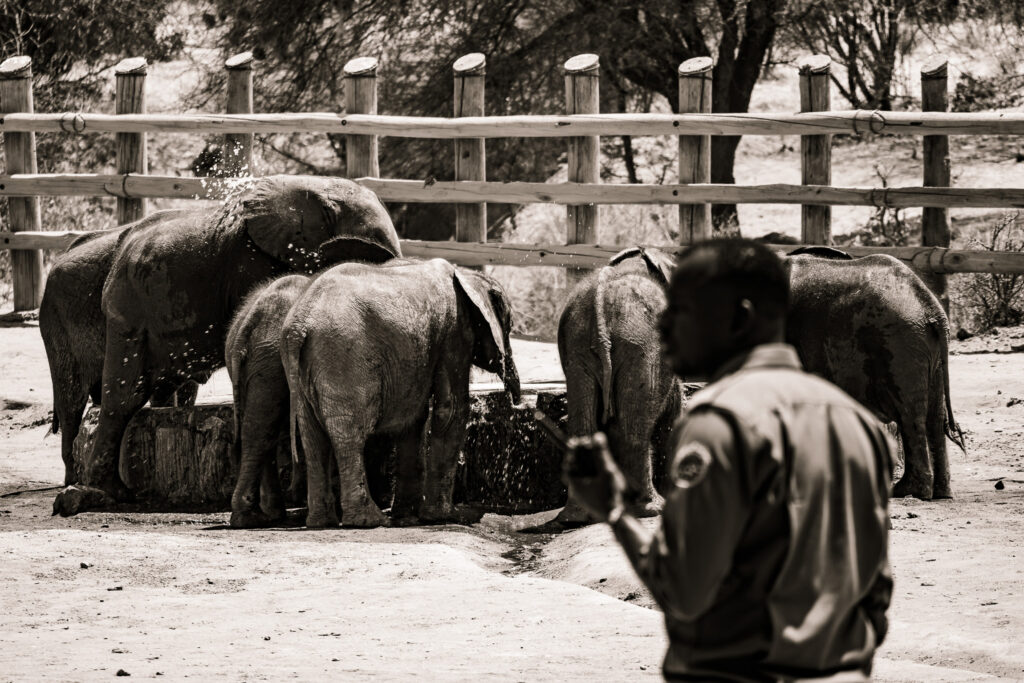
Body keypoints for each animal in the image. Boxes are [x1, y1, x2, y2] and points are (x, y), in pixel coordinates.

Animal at [281, 256, 521, 528]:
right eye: (510, 326)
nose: (517, 400)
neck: (468, 274)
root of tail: (298, 325)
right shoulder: (455, 332)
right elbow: (450, 410)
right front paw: (445, 517)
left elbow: (413, 419)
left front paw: (407, 517)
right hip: (342, 357)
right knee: (349, 434)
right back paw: (368, 520)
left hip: (305, 372)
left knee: (313, 437)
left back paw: (322, 522)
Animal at [556, 247, 680, 525]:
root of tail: (599, 299)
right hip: (642, 346)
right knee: (633, 428)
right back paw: (651, 508)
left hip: (578, 345)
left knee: (584, 427)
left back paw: (578, 515)